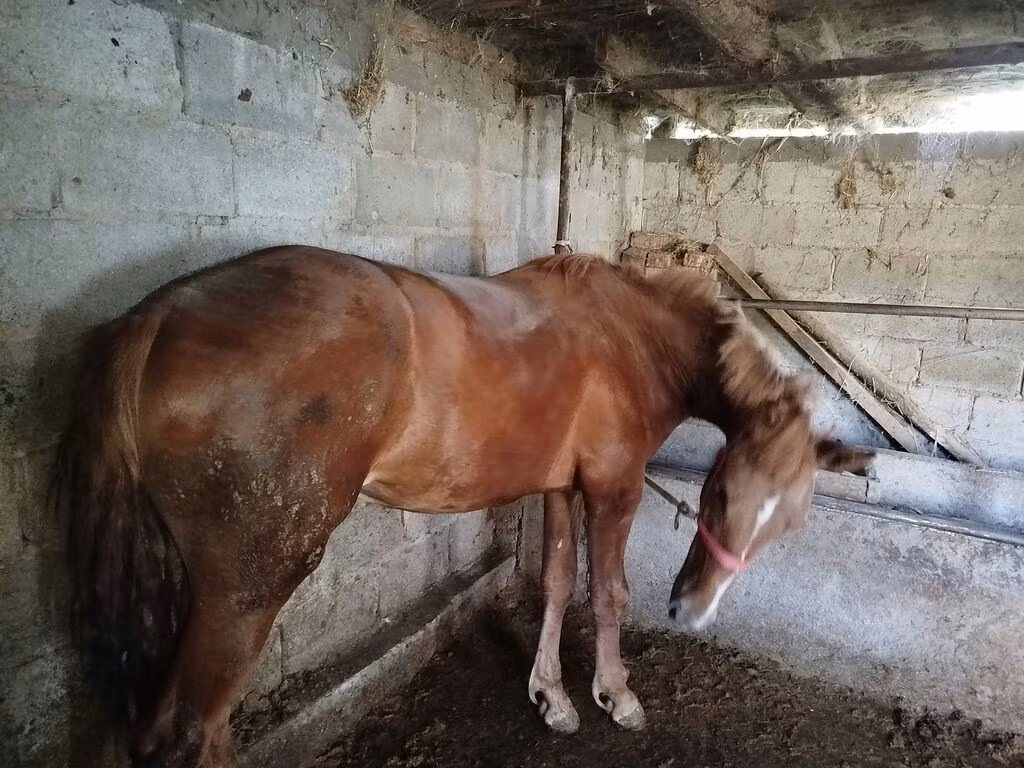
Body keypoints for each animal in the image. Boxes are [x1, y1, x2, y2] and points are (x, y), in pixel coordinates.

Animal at [53, 247, 874, 766]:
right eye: (723, 491)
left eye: (792, 520)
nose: (694, 610)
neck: (628, 337)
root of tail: (160, 316)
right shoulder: (613, 487)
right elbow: (607, 593)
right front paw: (615, 695)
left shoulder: (558, 487)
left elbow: (555, 584)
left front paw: (552, 698)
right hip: (245, 588)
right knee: (195, 733)